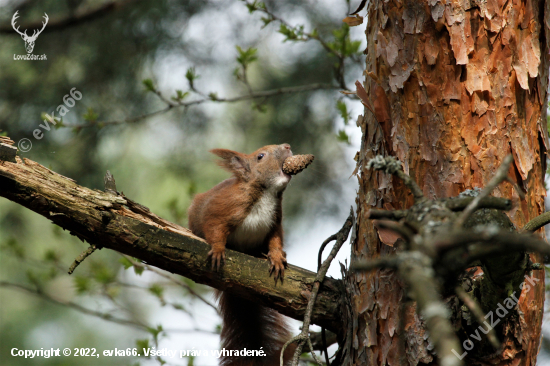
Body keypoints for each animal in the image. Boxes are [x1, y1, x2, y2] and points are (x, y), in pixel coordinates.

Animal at [189, 144, 296, 366]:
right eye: (260, 156)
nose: (287, 146)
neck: (266, 194)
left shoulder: (275, 222)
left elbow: (275, 240)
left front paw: (276, 257)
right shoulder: (222, 208)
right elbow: (214, 228)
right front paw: (218, 249)